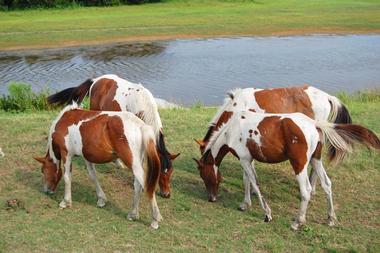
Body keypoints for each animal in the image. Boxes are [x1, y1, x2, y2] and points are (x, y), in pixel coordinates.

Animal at [36, 104, 165, 230]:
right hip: (137, 164)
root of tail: (141, 126)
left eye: (43, 170)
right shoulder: (86, 157)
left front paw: (65, 201)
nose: (46, 190)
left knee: (147, 187)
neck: (64, 121)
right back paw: (133, 214)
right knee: (138, 186)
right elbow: (93, 176)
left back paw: (155, 220)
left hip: (133, 164)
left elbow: (67, 177)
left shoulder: (66, 153)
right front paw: (101, 199)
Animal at [194, 110, 378, 229]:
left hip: (299, 164)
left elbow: (255, 184)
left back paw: (298, 222)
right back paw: (330, 219)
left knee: (306, 190)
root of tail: (314, 124)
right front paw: (245, 204)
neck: (232, 129)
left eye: (204, 175)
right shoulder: (248, 160)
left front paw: (267, 214)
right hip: (316, 160)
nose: (211, 198)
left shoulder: (245, 160)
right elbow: (247, 181)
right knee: (327, 184)